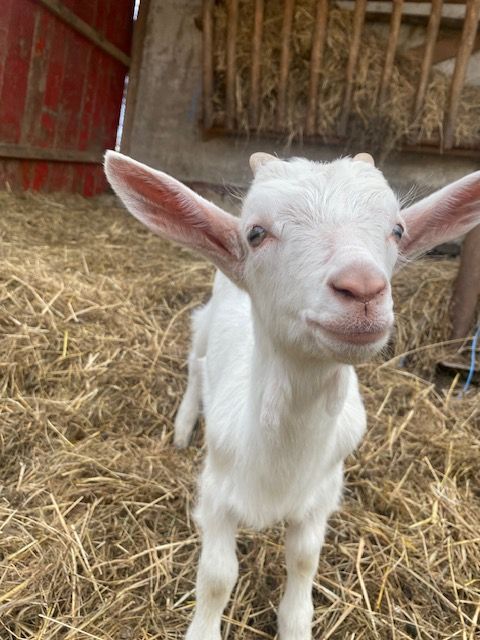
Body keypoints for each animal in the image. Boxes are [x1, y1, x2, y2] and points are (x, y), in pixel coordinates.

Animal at [105, 151, 480, 640]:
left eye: (397, 230)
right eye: (256, 233)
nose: (362, 288)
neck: (281, 464)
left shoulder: (320, 497)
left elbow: (303, 564)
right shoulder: (215, 493)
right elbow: (217, 577)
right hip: (206, 320)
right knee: (196, 363)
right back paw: (184, 428)